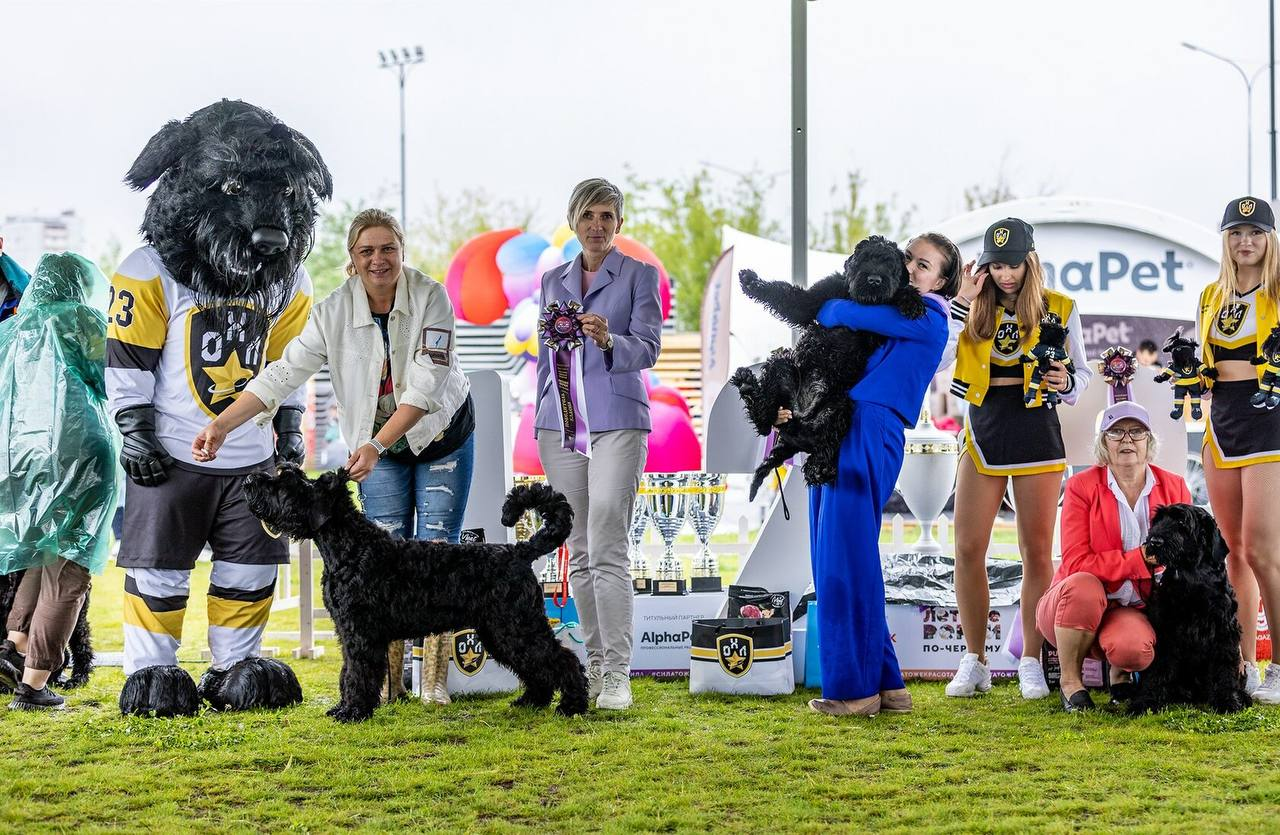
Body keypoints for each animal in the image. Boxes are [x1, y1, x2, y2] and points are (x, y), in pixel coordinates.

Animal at [241, 466, 586, 722]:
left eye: (286, 484)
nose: (249, 481)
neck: (350, 547)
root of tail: (520, 551)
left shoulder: (360, 633)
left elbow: (358, 673)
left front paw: (353, 712)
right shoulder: (347, 632)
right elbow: (347, 671)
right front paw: (344, 707)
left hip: (516, 626)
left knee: (563, 659)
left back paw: (572, 705)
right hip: (502, 632)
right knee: (537, 666)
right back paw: (532, 701)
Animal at [732, 231, 921, 499]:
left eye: (891, 264)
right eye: (865, 258)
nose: (874, 280)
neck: (855, 297)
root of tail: (798, 422)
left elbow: (898, 292)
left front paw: (912, 299)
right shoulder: (816, 297)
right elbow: (789, 297)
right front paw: (751, 281)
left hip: (839, 406)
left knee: (826, 444)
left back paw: (819, 469)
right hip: (781, 366)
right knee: (765, 422)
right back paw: (748, 387)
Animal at [1131, 504, 1249, 712]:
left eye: (1181, 521)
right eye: (1158, 519)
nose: (1154, 541)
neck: (1191, 576)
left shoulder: (1224, 632)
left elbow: (1224, 670)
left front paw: (1226, 701)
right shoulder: (1165, 631)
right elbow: (1156, 670)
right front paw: (1144, 702)